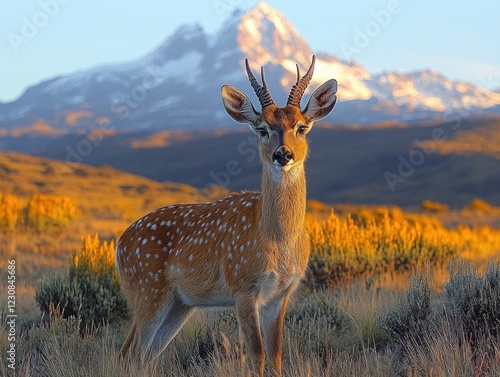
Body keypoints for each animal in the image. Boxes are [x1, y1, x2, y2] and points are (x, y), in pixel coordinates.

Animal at [115, 55, 338, 376]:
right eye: (262, 129)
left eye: (302, 127)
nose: (283, 155)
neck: (275, 238)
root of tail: (119, 244)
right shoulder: (242, 285)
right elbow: (257, 354)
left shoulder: (281, 294)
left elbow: (276, 355)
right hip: (146, 288)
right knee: (131, 353)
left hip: (178, 303)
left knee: (142, 355)